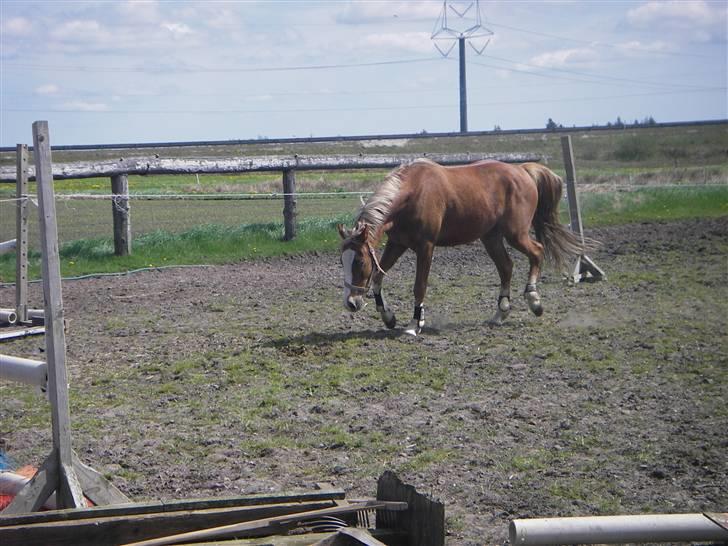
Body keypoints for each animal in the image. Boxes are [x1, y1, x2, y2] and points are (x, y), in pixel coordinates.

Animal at [336, 157, 584, 334]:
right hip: (491, 238)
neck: (412, 193)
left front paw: (415, 324)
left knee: (537, 252)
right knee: (506, 267)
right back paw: (500, 314)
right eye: (342, 261)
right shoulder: (397, 243)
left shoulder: (426, 247)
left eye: (359, 262)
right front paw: (389, 317)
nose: (351, 303)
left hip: (517, 234)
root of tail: (522, 170)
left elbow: (419, 286)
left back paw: (534, 300)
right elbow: (378, 277)